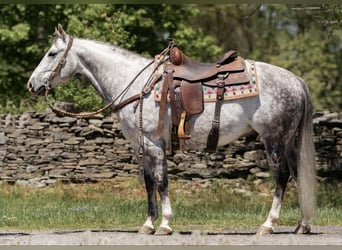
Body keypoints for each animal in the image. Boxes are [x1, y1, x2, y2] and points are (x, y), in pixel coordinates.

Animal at [28, 24, 316, 235]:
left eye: (52, 54)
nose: (31, 84)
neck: (136, 85)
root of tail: (296, 80)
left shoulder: (154, 144)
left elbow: (161, 181)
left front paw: (165, 224)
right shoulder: (141, 146)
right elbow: (148, 183)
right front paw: (148, 224)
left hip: (274, 140)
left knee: (281, 177)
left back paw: (268, 225)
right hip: (288, 142)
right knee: (297, 174)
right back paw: (302, 225)